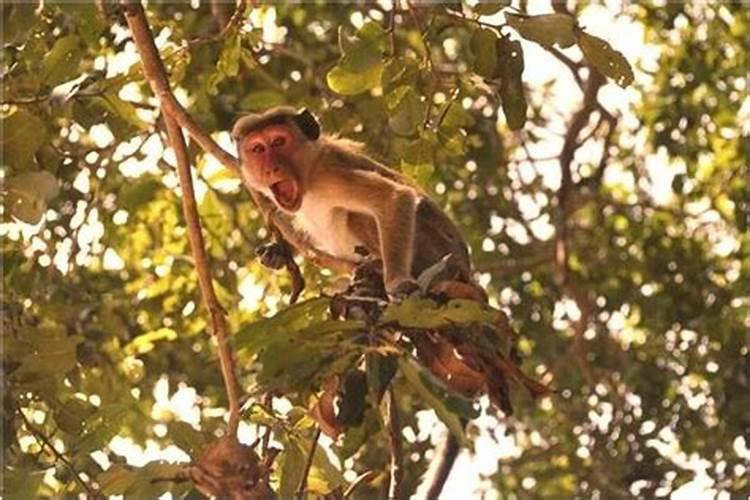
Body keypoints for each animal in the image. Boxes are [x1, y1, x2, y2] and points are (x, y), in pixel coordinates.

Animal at [232, 104, 472, 292]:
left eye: (279, 142)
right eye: (258, 148)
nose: (271, 169)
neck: (309, 174)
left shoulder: (330, 177)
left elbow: (395, 197)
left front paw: (397, 281)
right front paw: (278, 251)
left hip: (440, 257)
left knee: (357, 216)